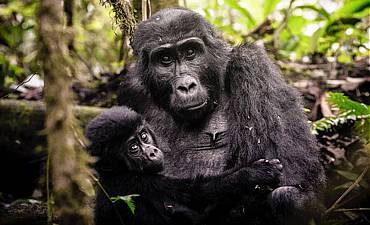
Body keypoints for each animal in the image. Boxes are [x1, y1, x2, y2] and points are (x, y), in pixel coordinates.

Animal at [86, 106, 284, 225]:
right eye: (133, 148)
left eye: (143, 136)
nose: (152, 152)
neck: (115, 172)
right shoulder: (134, 182)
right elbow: (197, 195)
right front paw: (253, 174)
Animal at [120, 7, 326, 225]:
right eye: (165, 59)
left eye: (190, 52)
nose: (186, 86)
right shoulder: (131, 91)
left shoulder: (252, 64)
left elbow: (295, 170)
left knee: (286, 196)